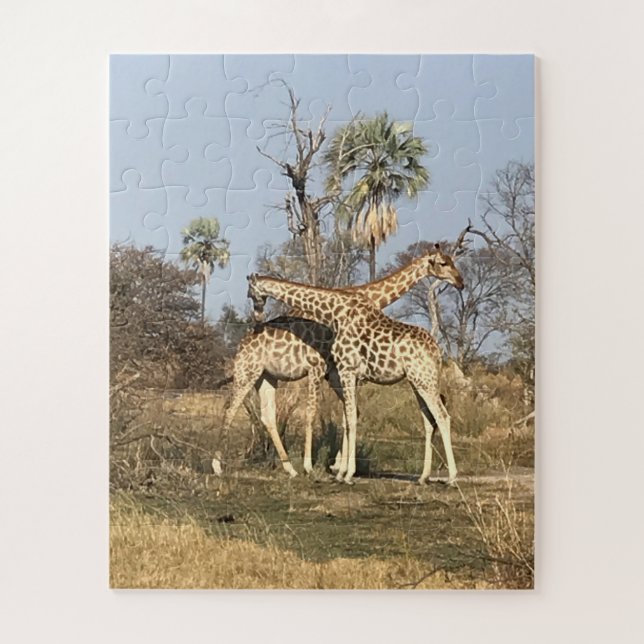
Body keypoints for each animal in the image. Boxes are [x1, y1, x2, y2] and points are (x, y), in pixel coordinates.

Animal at [220, 247, 463, 477]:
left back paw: (289, 468)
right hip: (250, 373)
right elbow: (325, 414)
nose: (460, 282)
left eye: (451, 261)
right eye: (444, 263)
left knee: (267, 416)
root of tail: (241, 344)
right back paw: (220, 465)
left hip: (267, 376)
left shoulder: (336, 372)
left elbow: (348, 415)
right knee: (233, 410)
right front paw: (323, 466)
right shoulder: (322, 368)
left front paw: (335, 465)